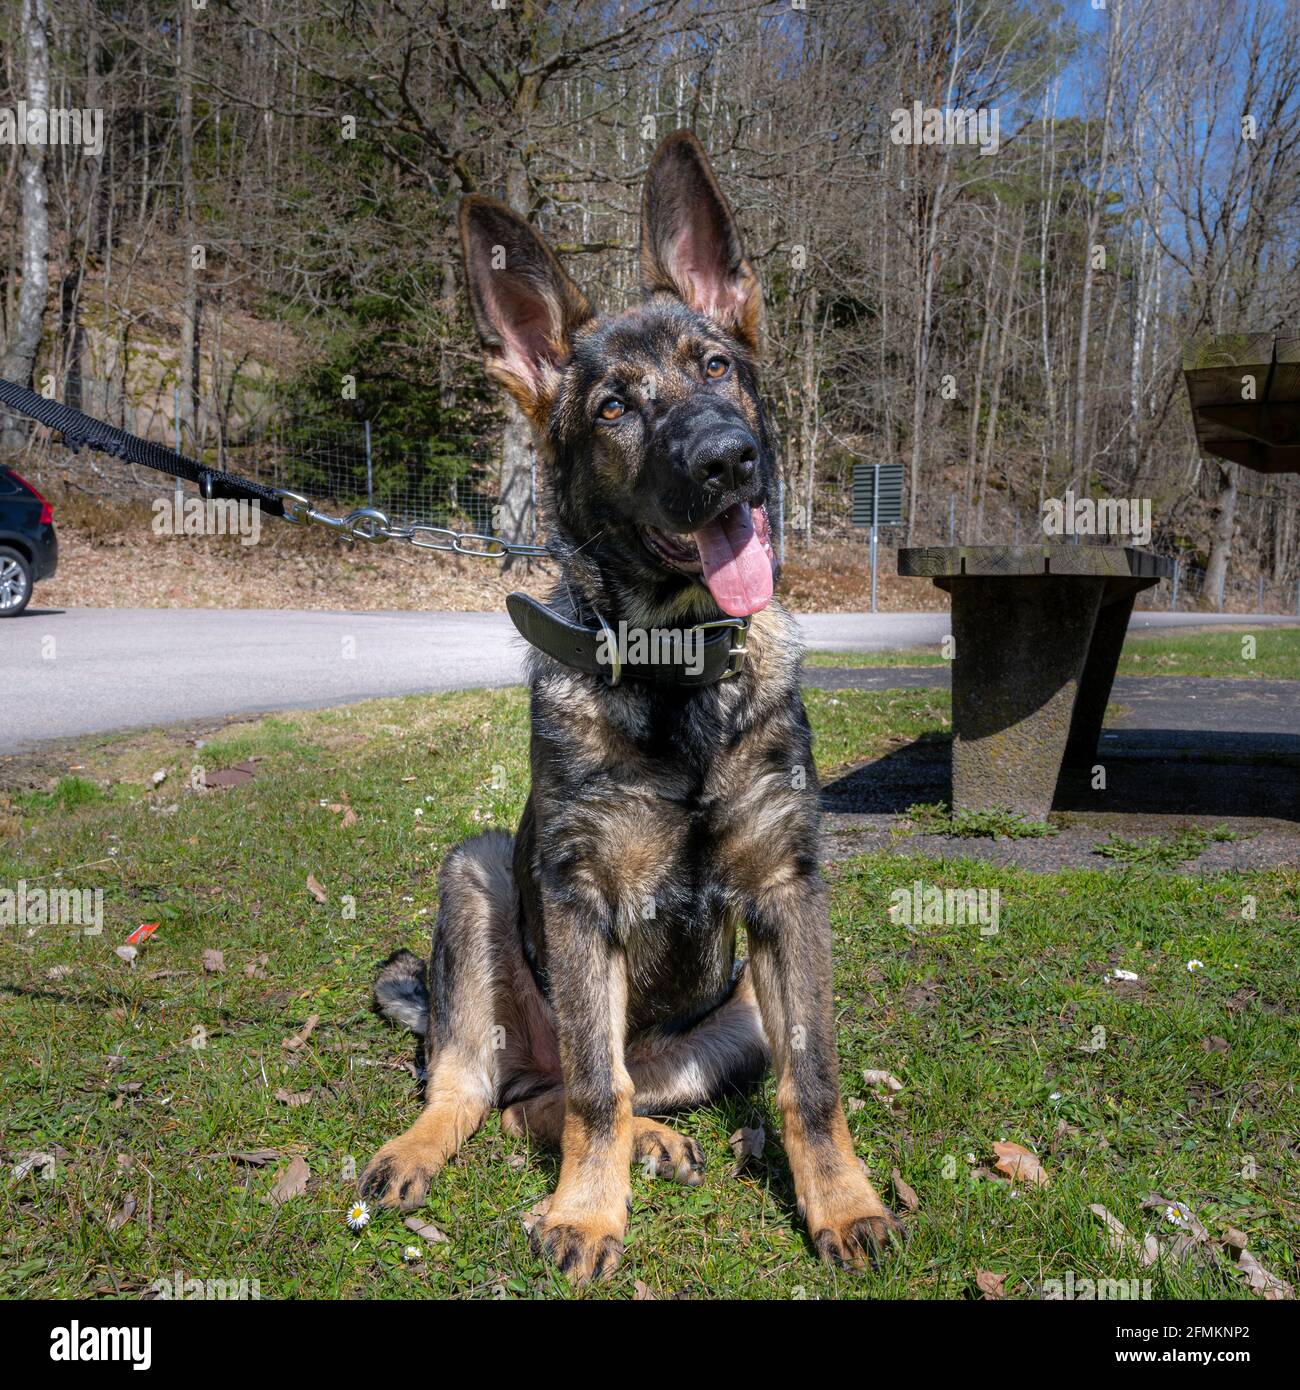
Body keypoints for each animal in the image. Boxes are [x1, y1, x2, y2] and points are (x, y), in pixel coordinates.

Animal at [361, 130, 900, 1278]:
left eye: (717, 369)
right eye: (614, 407)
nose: (727, 461)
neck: (675, 670)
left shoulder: (787, 893)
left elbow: (814, 1080)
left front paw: (841, 1203)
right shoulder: (576, 898)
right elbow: (592, 1090)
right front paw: (584, 1214)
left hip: (732, 1015)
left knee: (553, 1093)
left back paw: (673, 1139)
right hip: (475, 876)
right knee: (491, 1084)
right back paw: (425, 1148)